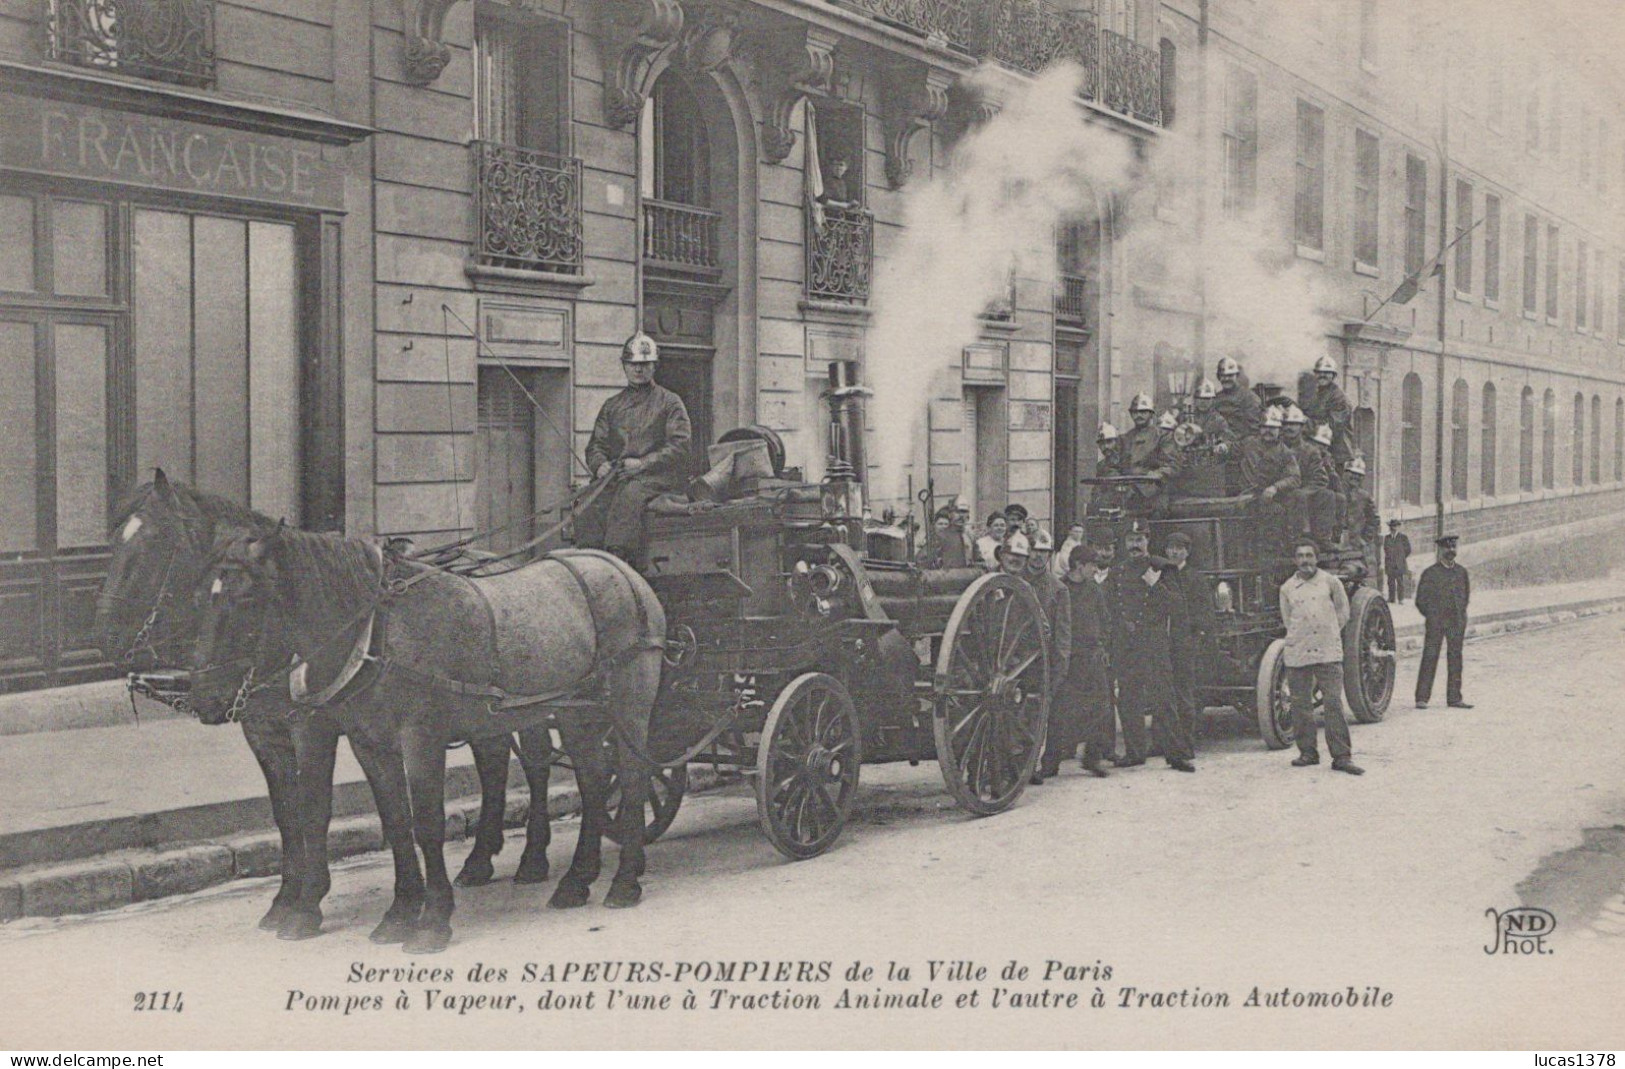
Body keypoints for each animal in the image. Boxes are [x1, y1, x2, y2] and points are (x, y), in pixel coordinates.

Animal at [96, 471, 565, 935]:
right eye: (115, 541)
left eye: (156, 542)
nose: (106, 639)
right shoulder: (263, 733)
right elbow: (286, 813)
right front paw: (285, 899)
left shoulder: (312, 728)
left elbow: (313, 807)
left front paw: (308, 903)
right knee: (494, 760)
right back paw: (480, 859)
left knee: (536, 763)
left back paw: (533, 856)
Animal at [188, 523, 666, 948]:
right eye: (203, 596)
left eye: (246, 596)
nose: (203, 696)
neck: (379, 631)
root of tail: (621, 569)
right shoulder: (369, 743)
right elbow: (394, 822)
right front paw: (399, 913)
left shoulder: (417, 738)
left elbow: (426, 825)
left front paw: (433, 920)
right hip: (574, 715)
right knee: (590, 782)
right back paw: (576, 880)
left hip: (629, 706)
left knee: (632, 778)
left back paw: (624, 880)